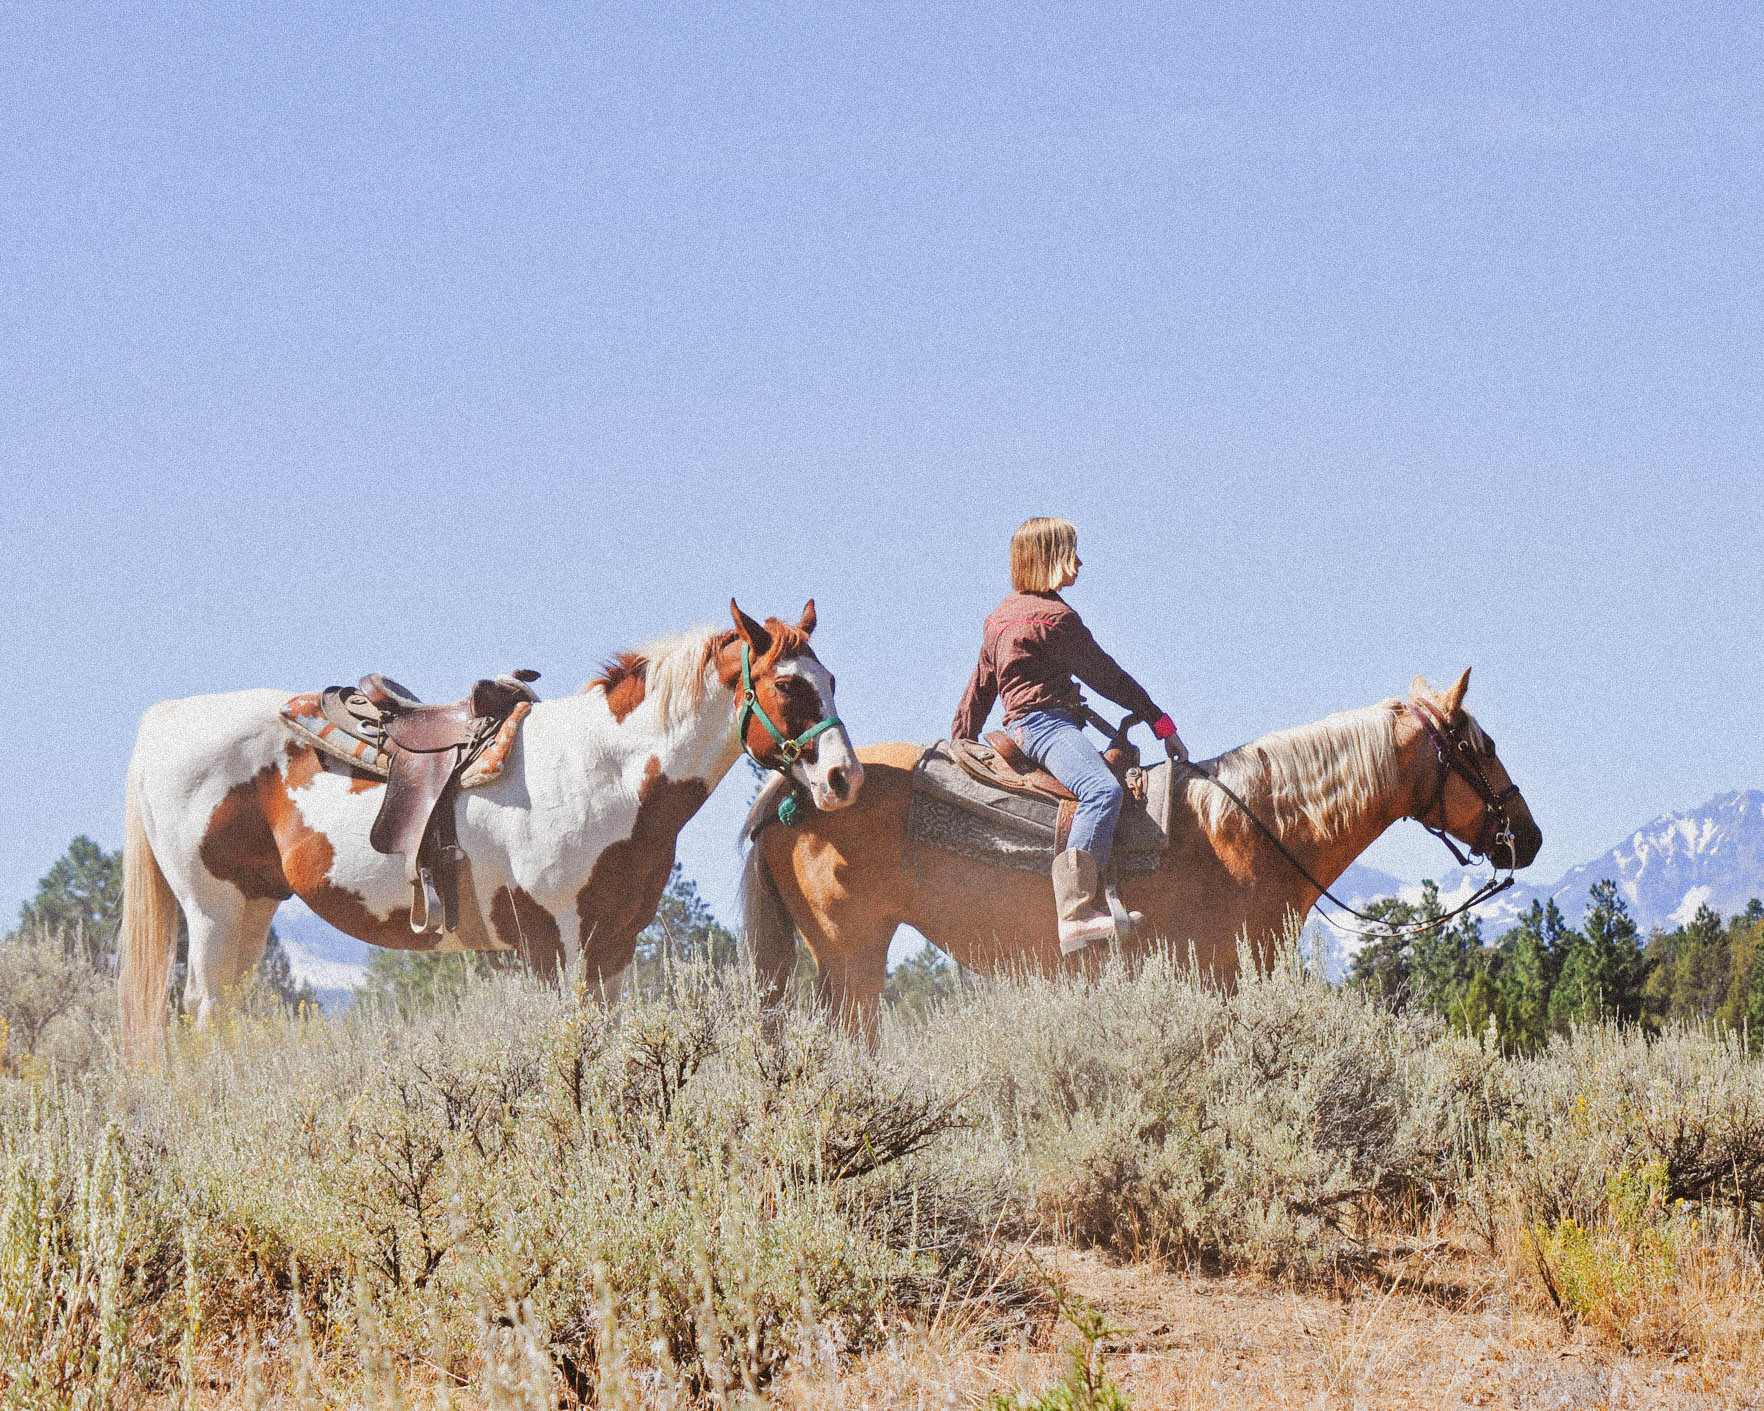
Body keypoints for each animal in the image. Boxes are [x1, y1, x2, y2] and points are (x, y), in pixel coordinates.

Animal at [117, 599, 860, 1065]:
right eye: (788, 687)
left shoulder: (614, 945)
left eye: (830, 677)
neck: (605, 770)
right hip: (212, 909)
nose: (845, 777)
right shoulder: (557, 942)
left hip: (253, 905)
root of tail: (164, 720)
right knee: (203, 1013)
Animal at [744, 666, 1545, 1044]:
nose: (1528, 835)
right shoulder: (1224, 978)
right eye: (1478, 745)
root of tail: (801, 782)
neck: (1251, 829)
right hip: (851, 958)